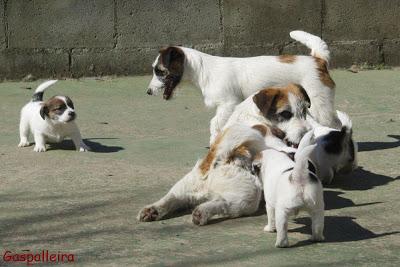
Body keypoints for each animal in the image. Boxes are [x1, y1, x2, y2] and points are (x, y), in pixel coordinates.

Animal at [138, 124, 266, 225]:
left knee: (172, 197)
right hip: (249, 198)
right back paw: (201, 214)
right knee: (224, 204)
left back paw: (152, 211)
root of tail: (225, 160)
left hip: (189, 185)